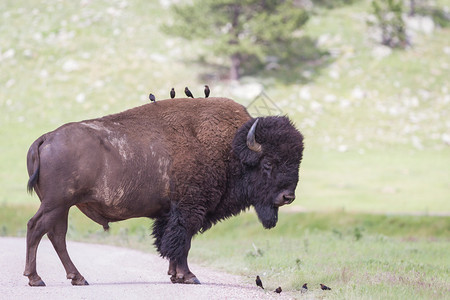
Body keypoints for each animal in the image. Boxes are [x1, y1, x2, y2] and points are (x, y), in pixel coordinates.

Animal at [25, 98, 306, 286]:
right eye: (268, 163)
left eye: (297, 161)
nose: (287, 197)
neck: (231, 149)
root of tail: (45, 138)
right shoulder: (189, 209)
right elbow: (182, 242)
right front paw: (188, 276)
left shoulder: (170, 214)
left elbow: (170, 242)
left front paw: (174, 275)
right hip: (56, 203)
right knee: (37, 228)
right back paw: (36, 278)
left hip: (62, 206)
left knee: (56, 235)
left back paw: (77, 278)